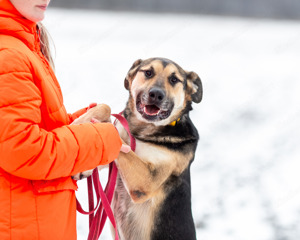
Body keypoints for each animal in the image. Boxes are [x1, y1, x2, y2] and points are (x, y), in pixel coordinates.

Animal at [113, 58, 204, 240]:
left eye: (174, 79)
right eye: (148, 72)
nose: (156, 94)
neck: (143, 131)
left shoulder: (146, 180)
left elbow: (119, 135)